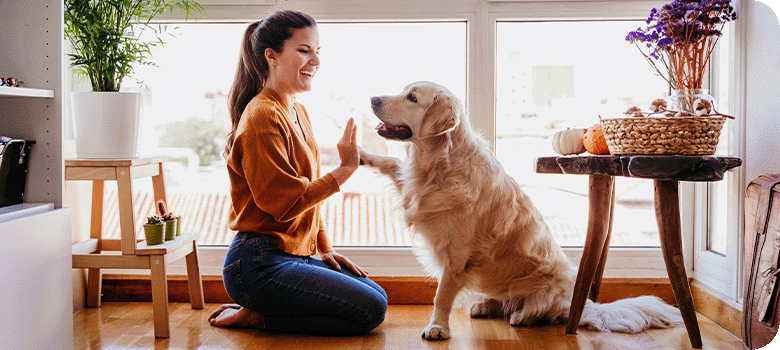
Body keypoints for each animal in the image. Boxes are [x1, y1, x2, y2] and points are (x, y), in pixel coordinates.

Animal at [360, 81, 684, 340]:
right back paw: (484, 305)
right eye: (404, 91)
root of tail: (582, 304)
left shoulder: (457, 255)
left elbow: (442, 295)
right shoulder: (413, 189)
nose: (372, 99)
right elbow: (391, 163)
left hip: (550, 285)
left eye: (412, 98)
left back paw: (522, 316)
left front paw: (437, 327)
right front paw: (360, 154)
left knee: (541, 311)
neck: (439, 163)